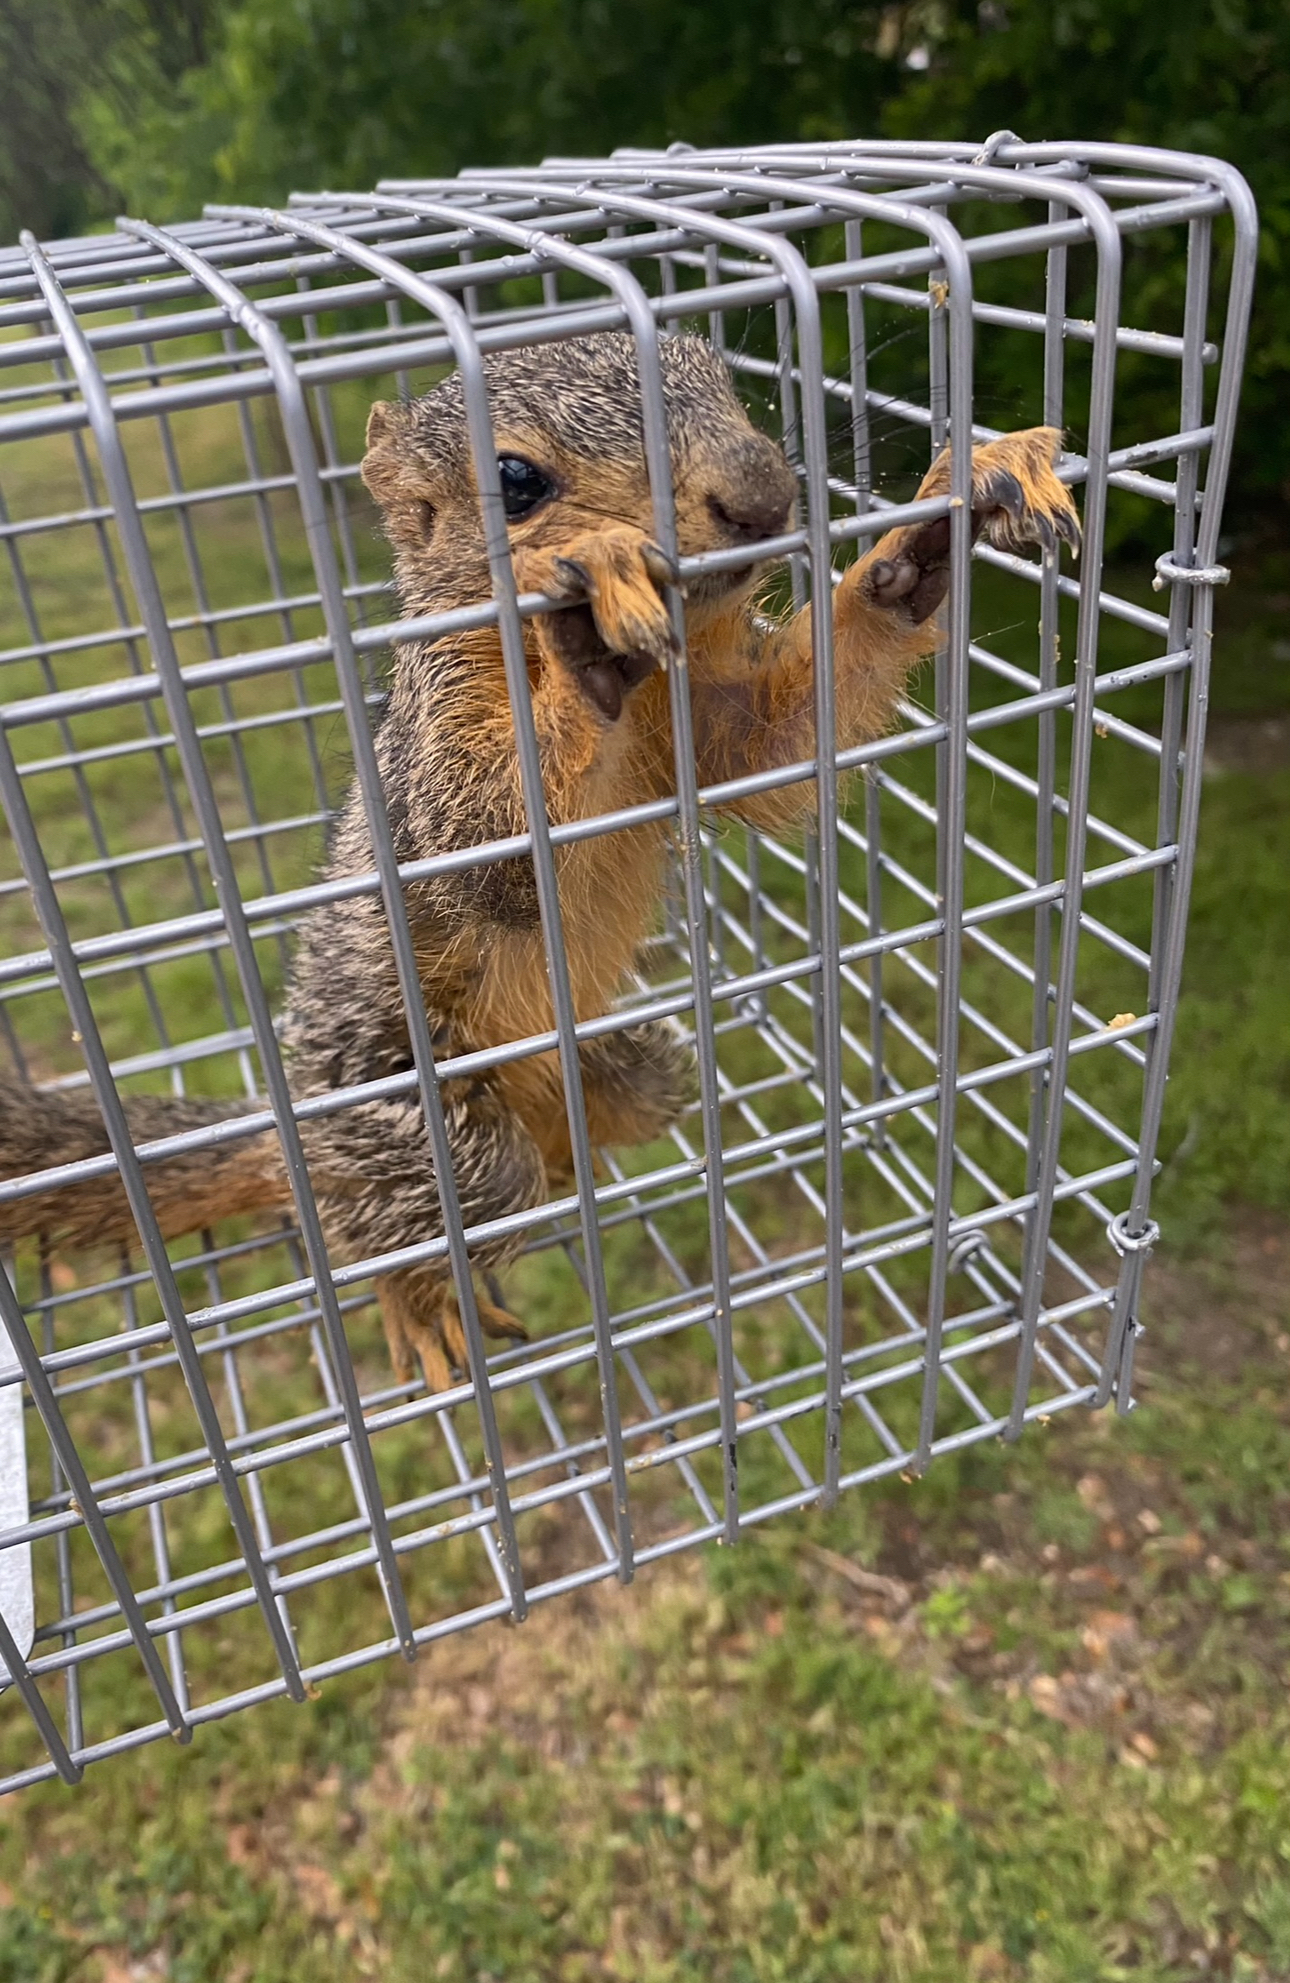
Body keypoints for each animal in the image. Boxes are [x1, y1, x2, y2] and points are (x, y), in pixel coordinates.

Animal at [0, 332, 1079, 1392]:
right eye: (515, 480)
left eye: (723, 376)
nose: (763, 493)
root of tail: (294, 1129)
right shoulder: (430, 761)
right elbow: (487, 848)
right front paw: (589, 610)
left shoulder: (709, 726)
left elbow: (777, 748)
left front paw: (927, 536)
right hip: (415, 1128)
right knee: (395, 1224)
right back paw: (420, 1303)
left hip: (637, 1065)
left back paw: (574, 1171)